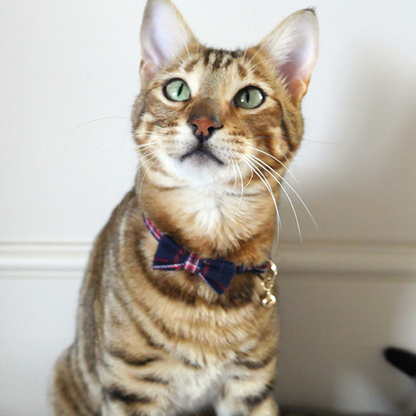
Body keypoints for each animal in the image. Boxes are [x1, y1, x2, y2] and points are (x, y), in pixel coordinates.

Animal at [51, 0, 318, 416]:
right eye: (176, 89)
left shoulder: (251, 386)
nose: (203, 123)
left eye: (250, 97)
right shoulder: (132, 388)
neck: (205, 261)